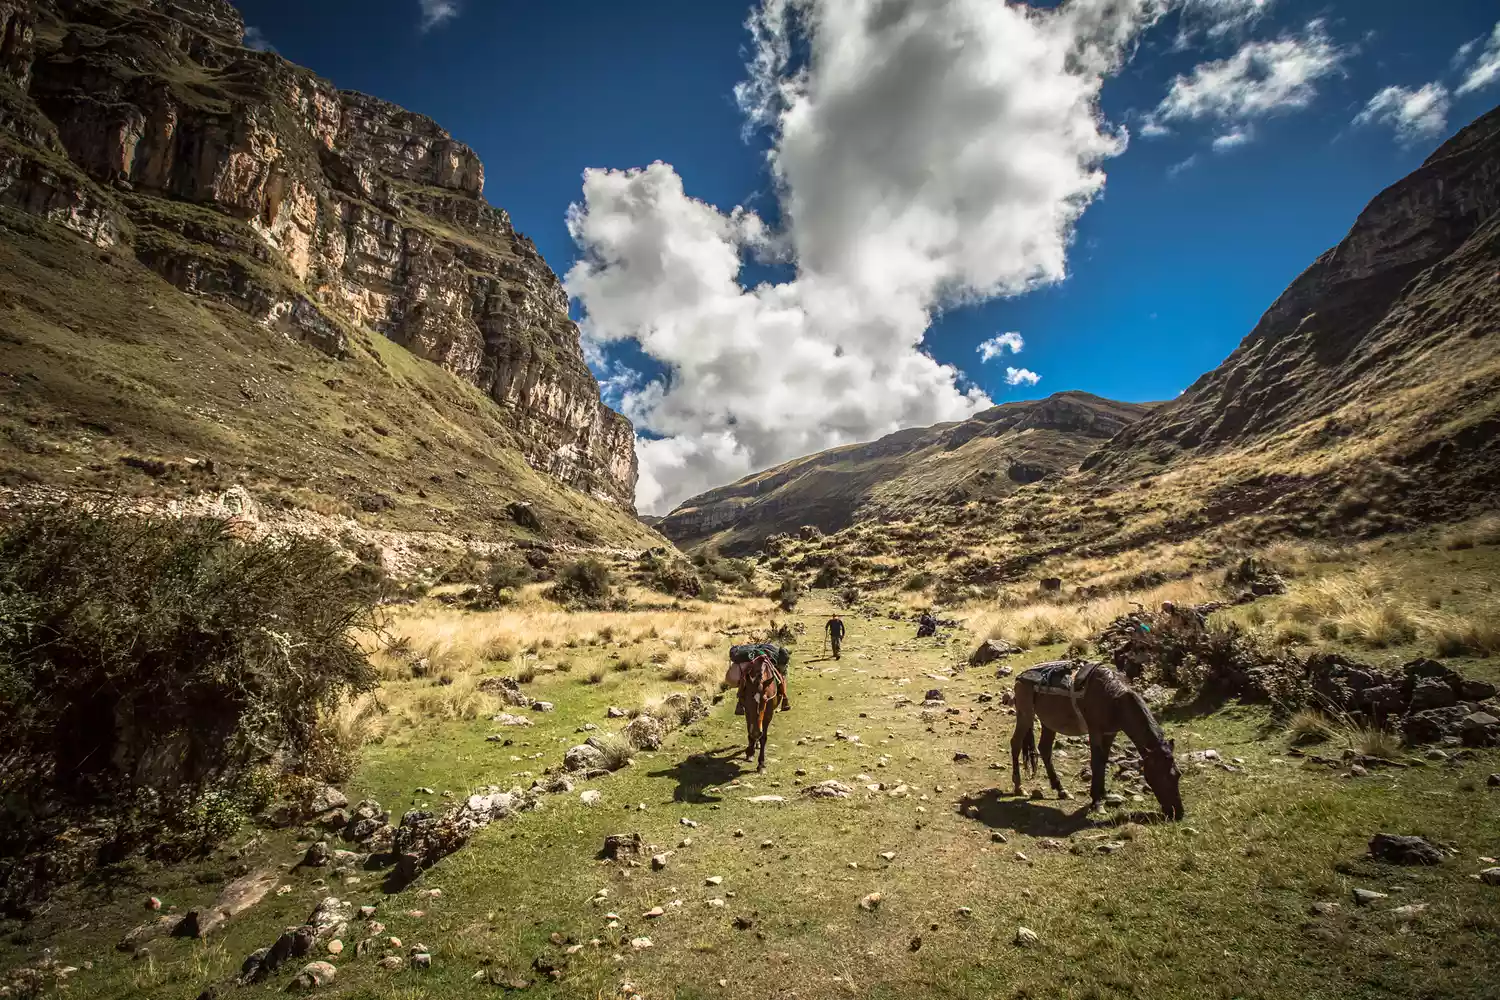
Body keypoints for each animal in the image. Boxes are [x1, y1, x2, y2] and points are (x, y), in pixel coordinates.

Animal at [1008, 659, 1182, 815]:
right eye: (1162, 777)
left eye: (1178, 775)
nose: (1177, 812)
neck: (1114, 700)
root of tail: (1020, 677)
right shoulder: (1095, 732)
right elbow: (1096, 762)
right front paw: (1096, 802)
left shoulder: (1110, 733)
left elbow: (1103, 760)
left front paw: (1103, 793)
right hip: (1025, 715)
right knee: (1015, 743)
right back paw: (1019, 787)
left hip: (1049, 722)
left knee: (1045, 749)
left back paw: (1061, 790)